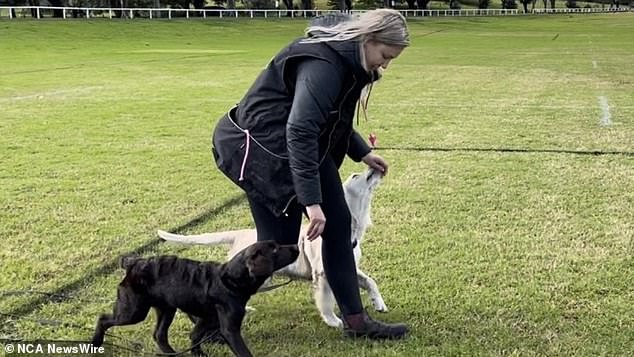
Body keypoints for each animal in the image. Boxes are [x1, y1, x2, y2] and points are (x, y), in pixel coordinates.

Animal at [91, 239, 298, 356]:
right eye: (274, 250)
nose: (296, 246)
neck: (230, 280)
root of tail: (132, 263)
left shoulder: (208, 319)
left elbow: (194, 336)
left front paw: (198, 354)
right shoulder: (229, 329)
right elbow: (242, 352)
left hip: (166, 309)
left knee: (159, 335)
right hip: (133, 311)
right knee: (103, 318)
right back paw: (95, 343)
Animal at [158, 168, 386, 326]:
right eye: (356, 175)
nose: (375, 167)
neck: (352, 227)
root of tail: (239, 234)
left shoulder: (350, 265)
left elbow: (370, 281)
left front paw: (379, 303)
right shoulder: (322, 273)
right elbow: (326, 300)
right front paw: (333, 321)